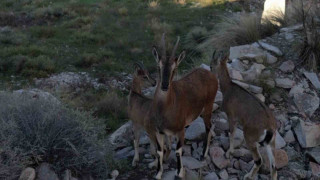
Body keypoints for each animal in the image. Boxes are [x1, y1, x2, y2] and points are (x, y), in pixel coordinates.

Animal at [151, 34, 219, 179]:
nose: (164, 85)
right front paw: (158, 173)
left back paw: (203, 154)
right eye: (159, 66)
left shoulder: (180, 130)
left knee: (209, 126)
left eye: (174, 68)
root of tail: (210, 73)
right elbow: (159, 151)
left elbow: (178, 151)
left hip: (208, 106)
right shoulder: (158, 131)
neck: (165, 109)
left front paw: (179, 172)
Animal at [210, 52, 278, 180]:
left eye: (211, 66)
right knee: (274, 166)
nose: (210, 74)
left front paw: (229, 153)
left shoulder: (232, 117)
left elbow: (232, 133)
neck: (228, 88)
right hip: (270, 143)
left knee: (259, 160)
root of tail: (270, 128)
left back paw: (248, 176)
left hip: (250, 137)